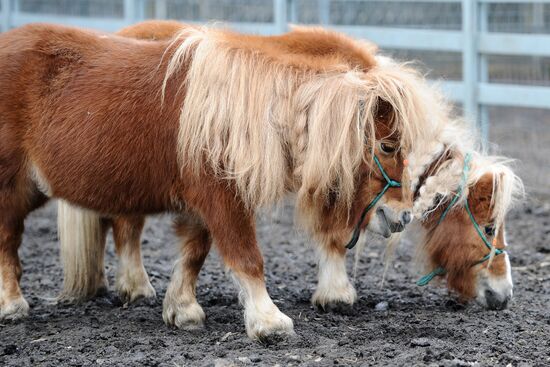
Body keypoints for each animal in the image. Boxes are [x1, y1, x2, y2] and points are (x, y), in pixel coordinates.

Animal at [0, 22, 440, 340]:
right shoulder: (225, 199)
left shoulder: (202, 205)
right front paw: (269, 322)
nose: (402, 216)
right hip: (12, 189)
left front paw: (182, 310)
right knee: (9, 240)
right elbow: (246, 257)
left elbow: (193, 254)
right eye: (387, 146)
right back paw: (12, 305)